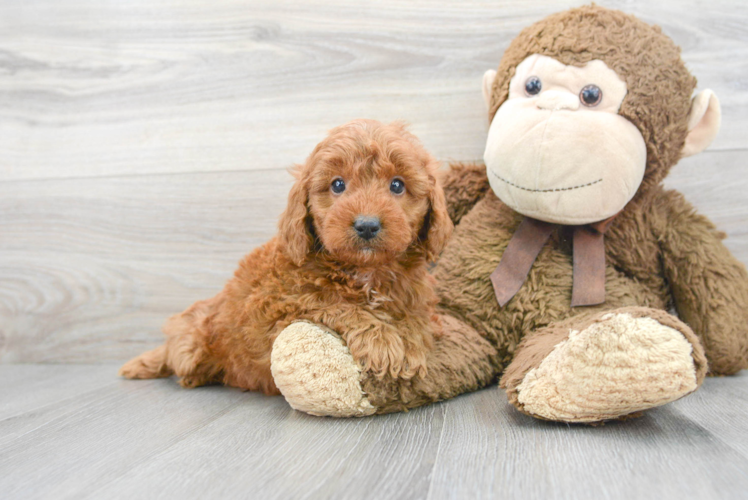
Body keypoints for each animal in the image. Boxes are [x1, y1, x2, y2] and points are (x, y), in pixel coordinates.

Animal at [120, 119, 452, 392]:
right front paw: (381, 341)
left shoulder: (414, 295)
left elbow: (416, 316)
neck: (366, 271)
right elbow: (334, 303)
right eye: (338, 184)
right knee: (178, 356)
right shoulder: (279, 303)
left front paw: (410, 342)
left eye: (397, 185)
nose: (367, 225)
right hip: (193, 342)